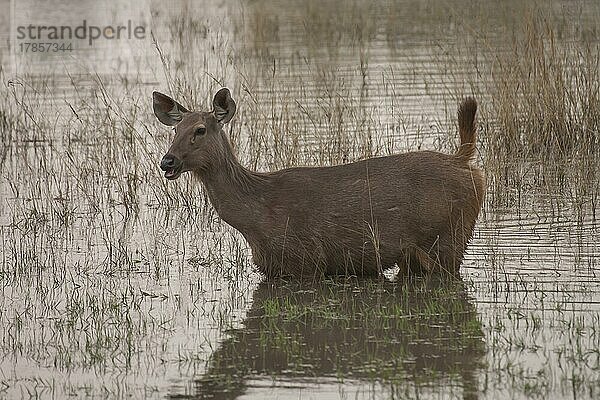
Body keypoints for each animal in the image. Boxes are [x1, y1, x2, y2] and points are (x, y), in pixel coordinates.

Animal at [154, 89, 482, 280]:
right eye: (175, 129)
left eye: (200, 130)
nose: (167, 161)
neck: (256, 216)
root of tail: (464, 161)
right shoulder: (273, 268)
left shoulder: (308, 261)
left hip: (448, 237)